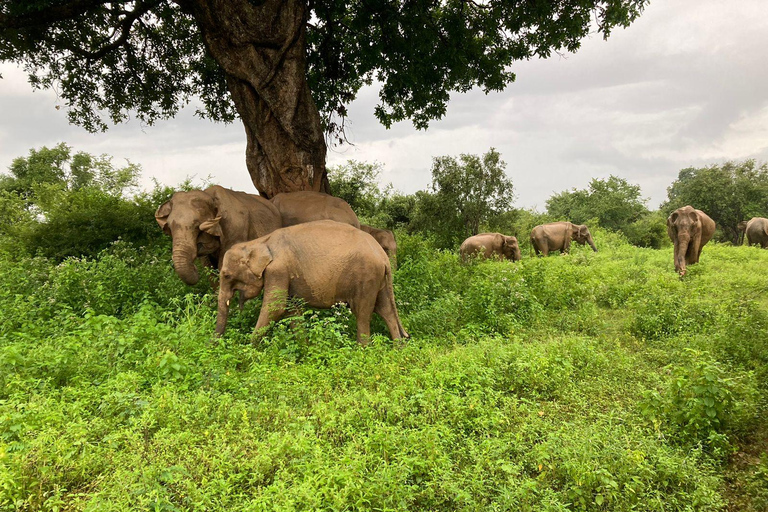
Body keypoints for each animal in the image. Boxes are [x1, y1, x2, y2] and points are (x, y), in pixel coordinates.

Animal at [154, 185, 282, 288]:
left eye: (197, 226)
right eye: (169, 227)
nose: (195, 268)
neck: (210, 196)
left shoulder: (235, 230)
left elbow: (223, 264)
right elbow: (209, 268)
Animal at [214, 218, 408, 346]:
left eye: (226, 275)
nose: (214, 345)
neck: (259, 241)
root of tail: (382, 256)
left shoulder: (278, 270)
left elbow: (275, 308)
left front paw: (246, 351)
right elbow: (292, 310)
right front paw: (305, 349)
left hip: (366, 277)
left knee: (362, 312)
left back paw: (363, 351)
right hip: (378, 279)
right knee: (385, 309)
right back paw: (398, 349)